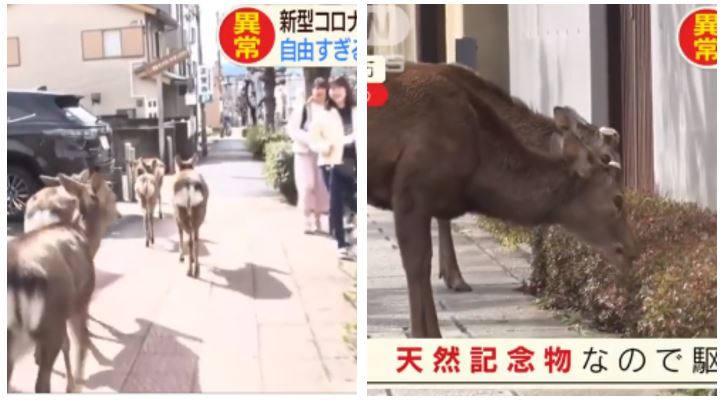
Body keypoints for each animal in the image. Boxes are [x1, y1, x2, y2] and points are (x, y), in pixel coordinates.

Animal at [8, 170, 119, 392]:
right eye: (111, 192)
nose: (119, 213)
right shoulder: (78, 302)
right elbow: (77, 344)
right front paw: (73, 383)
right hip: (49, 321)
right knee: (42, 383)